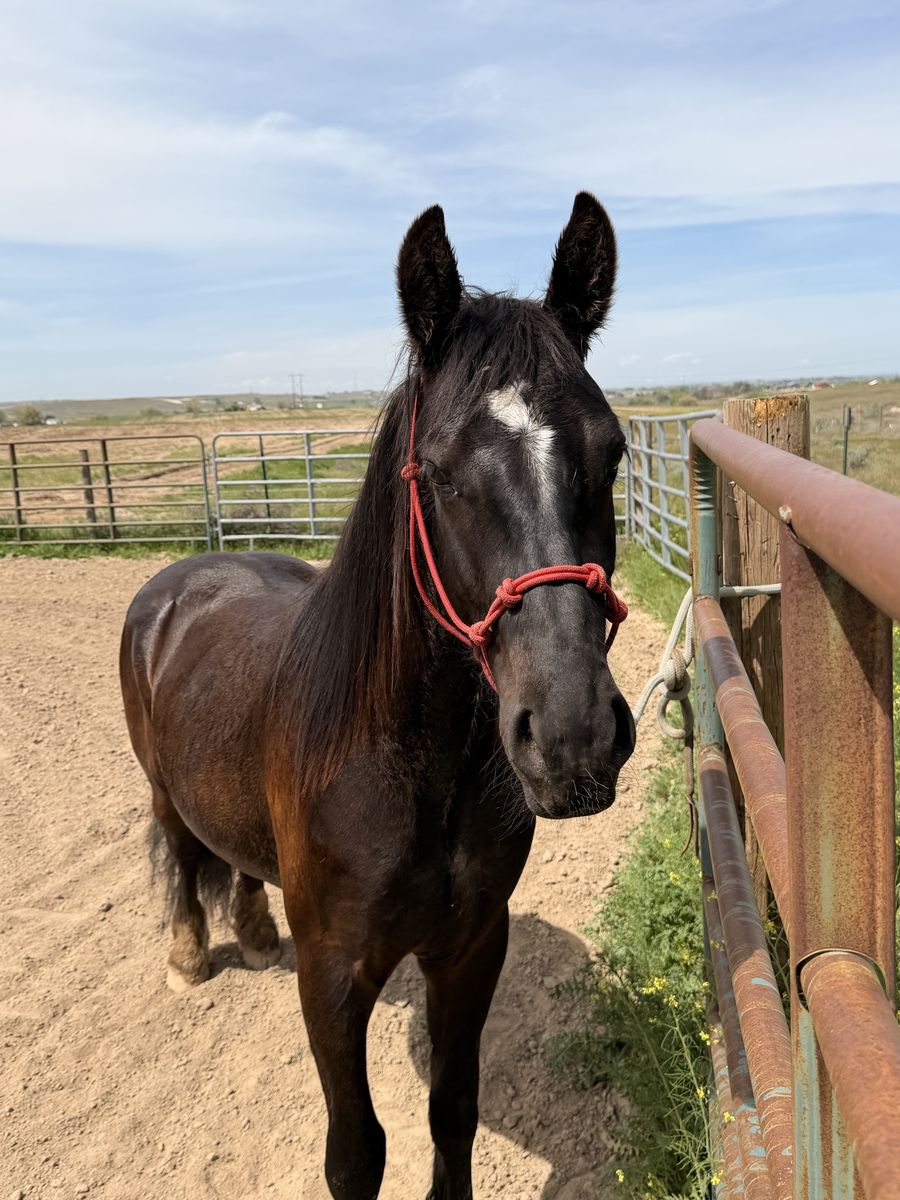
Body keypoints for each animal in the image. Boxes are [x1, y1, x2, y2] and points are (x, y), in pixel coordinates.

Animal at [120, 191, 636, 1199]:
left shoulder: (470, 950)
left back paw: (253, 929)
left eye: (615, 452)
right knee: (182, 850)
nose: (574, 739)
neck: (409, 770)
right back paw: (193, 953)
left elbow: (453, 1112)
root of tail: (182, 576)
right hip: (163, 790)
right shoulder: (334, 979)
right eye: (436, 471)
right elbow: (356, 1154)